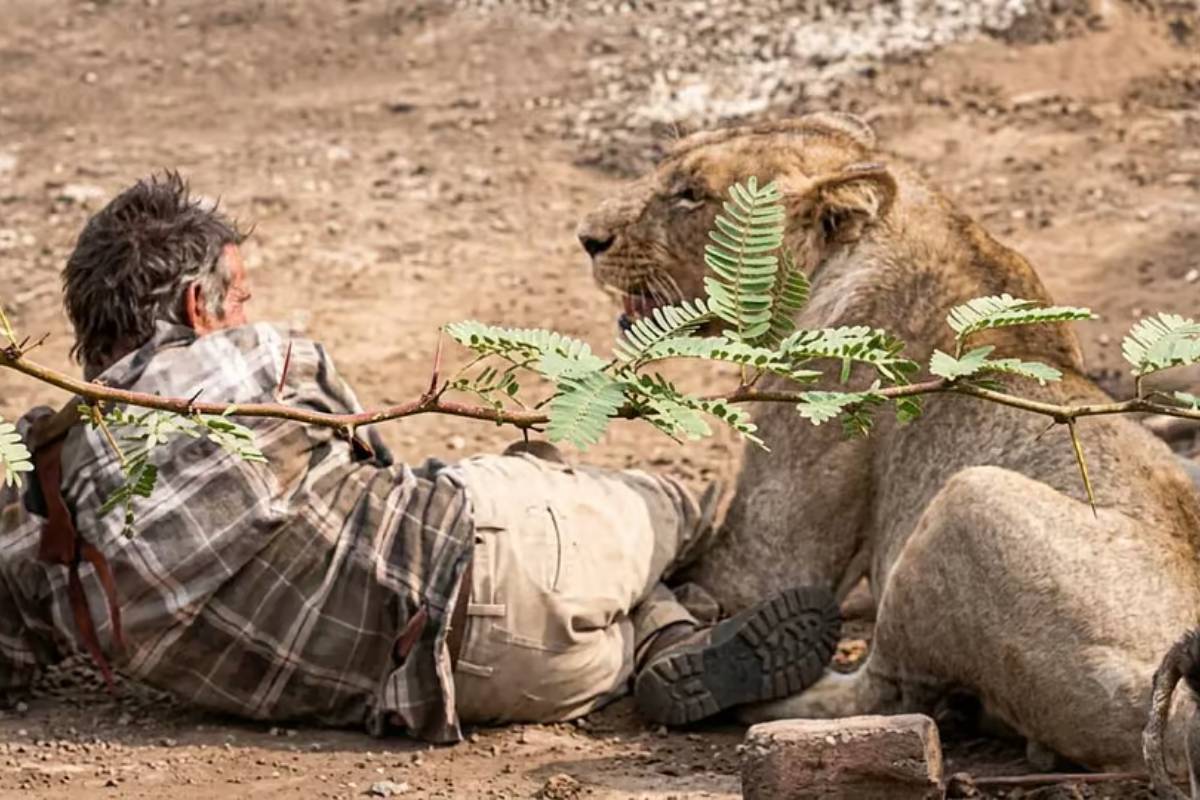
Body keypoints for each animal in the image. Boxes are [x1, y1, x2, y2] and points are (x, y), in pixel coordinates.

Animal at [576, 113, 1200, 773]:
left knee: (886, 693)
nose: (587, 238)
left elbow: (735, 574)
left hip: (967, 501)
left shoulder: (780, 517)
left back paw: (728, 676)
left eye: (692, 193)